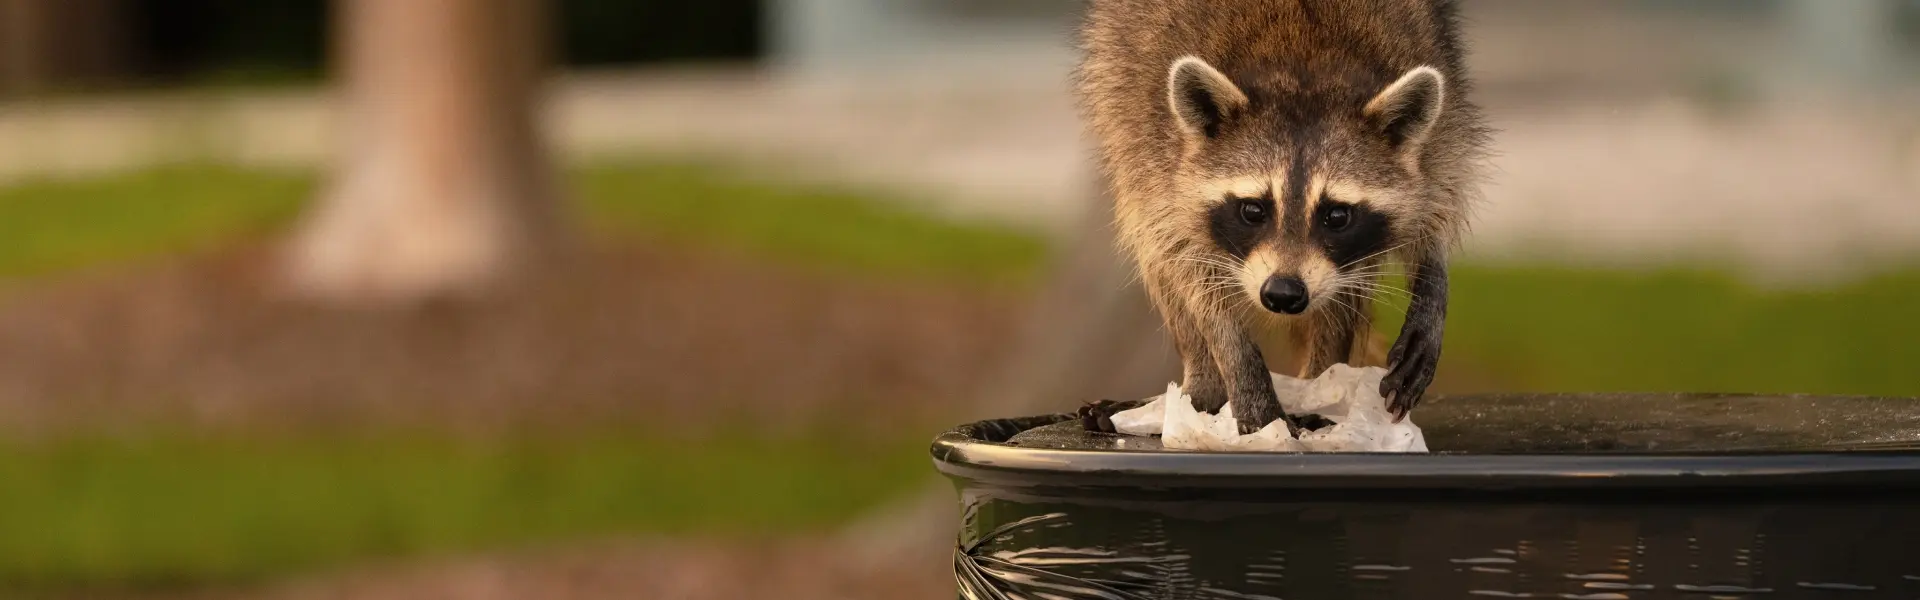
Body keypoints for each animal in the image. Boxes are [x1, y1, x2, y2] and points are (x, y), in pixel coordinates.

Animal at [1075, 0, 1490, 434]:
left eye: (1337, 215)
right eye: (1253, 210)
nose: (1284, 294)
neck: (1302, 64)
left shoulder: (1436, 97)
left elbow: (1437, 196)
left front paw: (1431, 279)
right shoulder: (1154, 143)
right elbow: (1187, 267)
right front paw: (1243, 372)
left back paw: (1323, 378)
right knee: (1156, 257)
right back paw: (1202, 384)